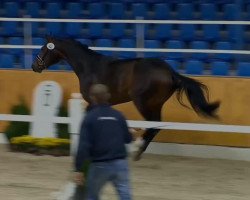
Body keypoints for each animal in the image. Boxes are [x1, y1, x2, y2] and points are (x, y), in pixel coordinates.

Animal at [31, 36, 221, 160]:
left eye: (43, 48)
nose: (34, 66)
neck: (89, 67)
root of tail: (170, 72)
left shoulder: (92, 102)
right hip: (155, 104)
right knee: (156, 126)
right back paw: (137, 151)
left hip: (143, 102)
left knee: (152, 125)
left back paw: (135, 149)